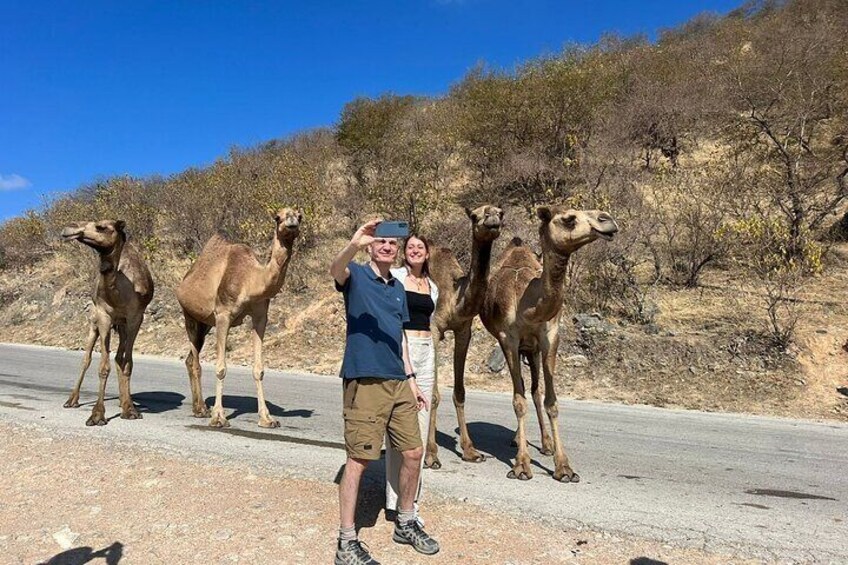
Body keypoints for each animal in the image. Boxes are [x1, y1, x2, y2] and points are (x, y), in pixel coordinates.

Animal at [63, 218, 157, 426]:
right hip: (94, 321)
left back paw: (125, 402)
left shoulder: (136, 317)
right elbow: (102, 366)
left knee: (119, 358)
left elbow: (127, 363)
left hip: (122, 326)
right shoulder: (103, 315)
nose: (68, 229)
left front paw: (130, 410)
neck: (120, 293)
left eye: (101, 227)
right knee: (86, 359)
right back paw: (71, 400)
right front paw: (97, 415)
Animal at [175, 207, 302, 428]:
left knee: (190, 358)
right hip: (189, 315)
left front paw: (267, 419)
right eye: (277, 217)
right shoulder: (223, 314)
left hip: (205, 324)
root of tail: (185, 280)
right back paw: (202, 409)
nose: (292, 222)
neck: (251, 280)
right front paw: (219, 417)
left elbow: (259, 369)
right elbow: (221, 368)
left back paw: (199, 408)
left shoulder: (260, 316)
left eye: (300, 216)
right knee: (195, 361)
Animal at [424, 203, 504, 468]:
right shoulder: (433, 328)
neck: (455, 297)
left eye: (501, 213)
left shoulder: (462, 331)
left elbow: (459, 391)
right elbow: (434, 393)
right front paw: (431, 455)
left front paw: (471, 451)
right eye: (474, 216)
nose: (491, 219)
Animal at [484, 206, 616, 480]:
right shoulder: (508, 339)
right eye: (569, 219)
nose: (608, 220)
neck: (528, 306)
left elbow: (551, 401)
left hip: (532, 350)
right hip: (517, 347)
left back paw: (544, 444)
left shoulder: (550, 337)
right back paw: (520, 443)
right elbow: (518, 400)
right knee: (524, 390)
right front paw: (521, 465)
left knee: (535, 390)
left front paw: (564, 467)